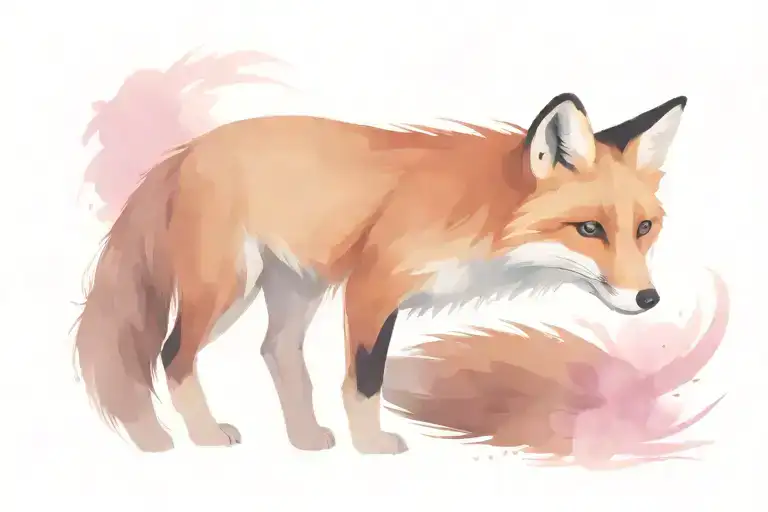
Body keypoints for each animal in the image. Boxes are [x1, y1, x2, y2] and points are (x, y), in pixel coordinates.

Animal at [74, 91, 687, 454]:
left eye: (644, 228)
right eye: (589, 229)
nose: (649, 299)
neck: (481, 215)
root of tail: (189, 149)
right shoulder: (371, 288)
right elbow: (364, 381)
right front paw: (371, 445)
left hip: (296, 287)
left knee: (276, 351)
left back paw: (303, 437)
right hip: (226, 289)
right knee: (171, 355)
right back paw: (197, 436)